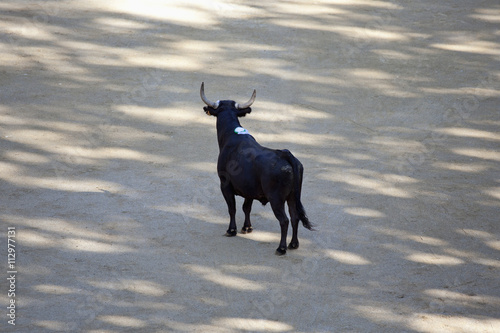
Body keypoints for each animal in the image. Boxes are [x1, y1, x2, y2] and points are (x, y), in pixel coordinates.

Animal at [200, 81, 312, 254]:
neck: (232, 136)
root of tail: (285, 154)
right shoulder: (249, 189)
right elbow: (246, 207)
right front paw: (247, 227)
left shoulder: (225, 185)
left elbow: (232, 208)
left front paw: (231, 230)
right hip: (293, 196)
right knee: (295, 216)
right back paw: (294, 244)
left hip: (276, 199)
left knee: (284, 220)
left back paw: (281, 248)